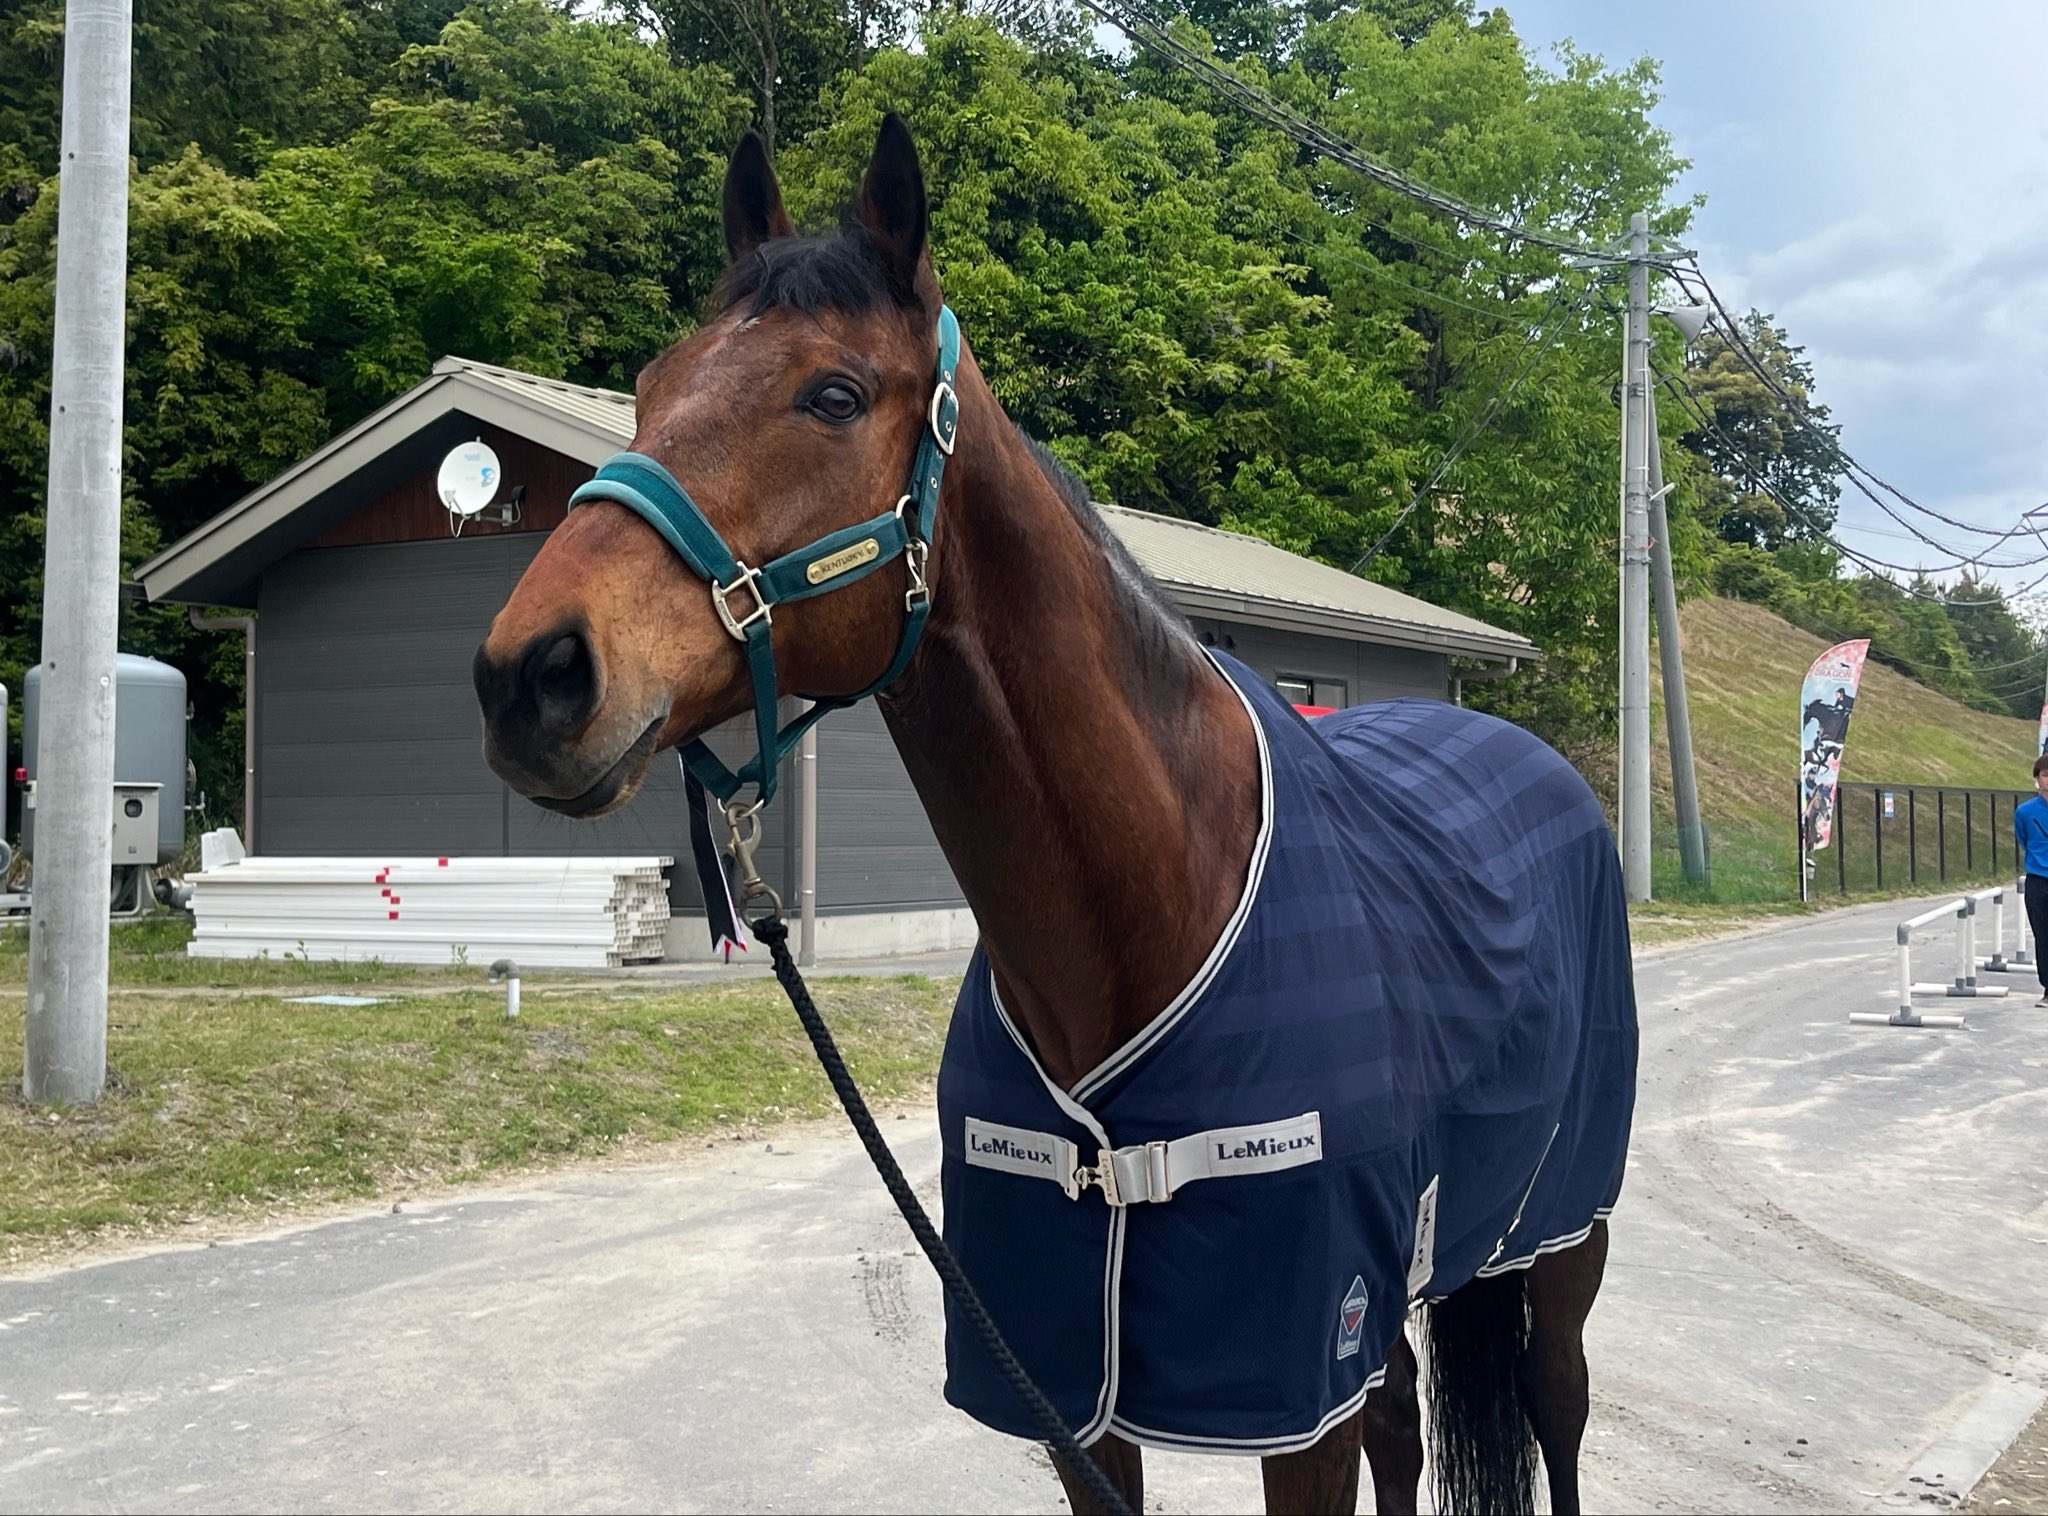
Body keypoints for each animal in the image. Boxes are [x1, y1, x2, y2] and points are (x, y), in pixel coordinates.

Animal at [473, 114, 1639, 1516]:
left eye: (831, 394)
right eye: (651, 386)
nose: (530, 673)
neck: (1151, 907)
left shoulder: (1298, 1384)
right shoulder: (1071, 1392)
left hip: (1559, 1237)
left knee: (1555, 1404)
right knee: (1409, 1428)